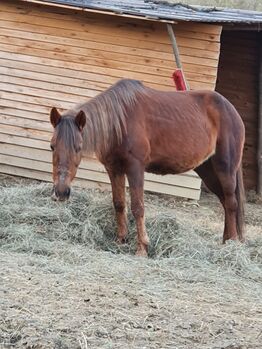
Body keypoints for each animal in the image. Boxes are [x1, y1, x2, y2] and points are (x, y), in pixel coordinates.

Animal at [49, 79, 246, 256]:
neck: (120, 121)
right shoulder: (114, 169)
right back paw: (225, 241)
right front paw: (121, 240)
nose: (61, 191)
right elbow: (119, 203)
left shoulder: (135, 168)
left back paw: (232, 244)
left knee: (231, 203)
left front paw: (142, 248)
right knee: (225, 202)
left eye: (78, 147)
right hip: (208, 171)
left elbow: (138, 207)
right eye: (52, 146)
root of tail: (232, 111)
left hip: (225, 168)